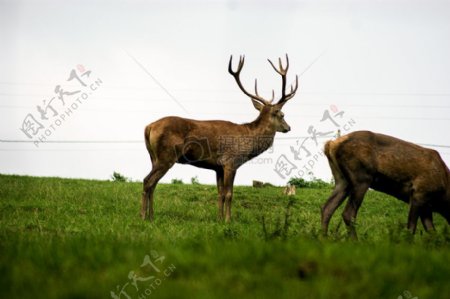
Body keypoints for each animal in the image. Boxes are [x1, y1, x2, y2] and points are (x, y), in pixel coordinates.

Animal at [141, 55, 298, 221]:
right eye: (282, 115)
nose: (288, 128)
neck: (248, 138)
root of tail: (149, 127)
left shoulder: (218, 167)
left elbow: (220, 194)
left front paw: (219, 218)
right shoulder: (231, 162)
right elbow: (229, 194)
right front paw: (228, 220)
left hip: (154, 157)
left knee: (153, 184)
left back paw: (151, 215)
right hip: (167, 155)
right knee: (147, 181)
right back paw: (143, 215)